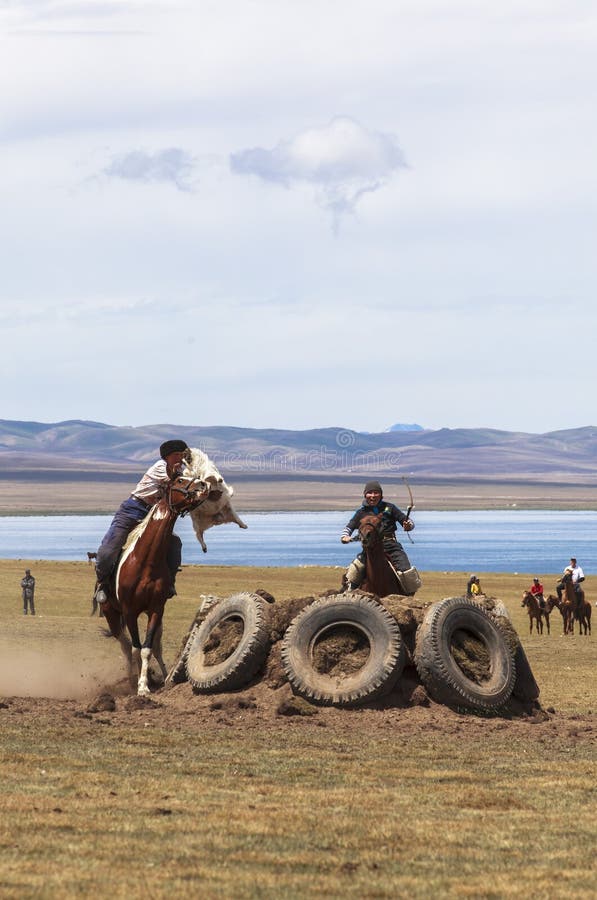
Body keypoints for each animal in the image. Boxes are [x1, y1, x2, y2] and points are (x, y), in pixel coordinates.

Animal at [100, 472, 207, 696]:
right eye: (180, 480)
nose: (204, 485)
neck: (146, 560)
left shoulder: (156, 609)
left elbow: (148, 648)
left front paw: (145, 685)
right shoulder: (130, 611)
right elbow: (135, 648)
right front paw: (137, 684)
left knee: (155, 645)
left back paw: (162, 676)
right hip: (111, 614)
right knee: (124, 645)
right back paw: (130, 677)